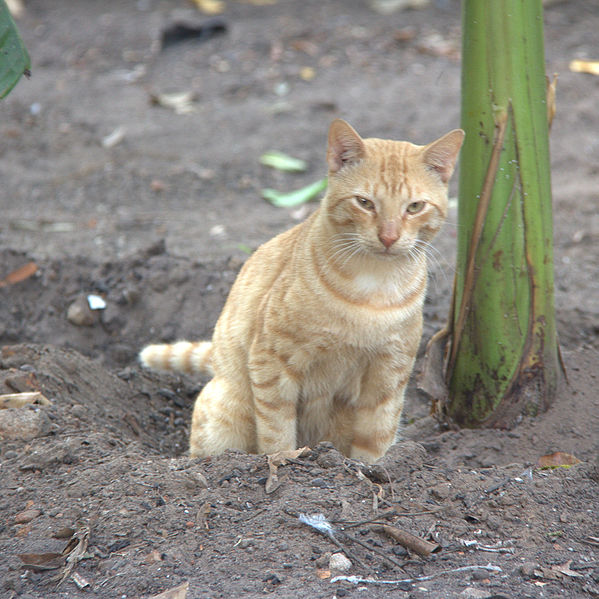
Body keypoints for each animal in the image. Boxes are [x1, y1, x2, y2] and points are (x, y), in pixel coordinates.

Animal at [141, 118, 464, 464]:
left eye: (414, 207)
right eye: (364, 203)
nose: (389, 238)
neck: (374, 285)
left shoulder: (390, 373)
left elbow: (376, 436)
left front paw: (371, 469)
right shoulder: (272, 361)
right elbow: (276, 429)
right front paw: (284, 461)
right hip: (226, 413)